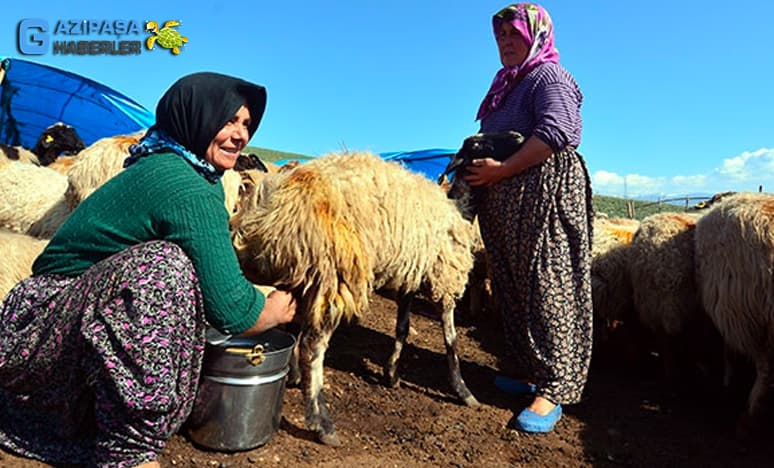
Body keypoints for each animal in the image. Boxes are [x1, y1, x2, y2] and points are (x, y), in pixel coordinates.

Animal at [230, 150, 482, 446]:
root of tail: (273, 204)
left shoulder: (409, 273)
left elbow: (403, 327)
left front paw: (392, 373)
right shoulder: (444, 273)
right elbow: (450, 339)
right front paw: (463, 390)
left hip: (291, 274)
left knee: (283, 325)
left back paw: (293, 377)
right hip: (334, 274)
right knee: (311, 348)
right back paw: (322, 423)